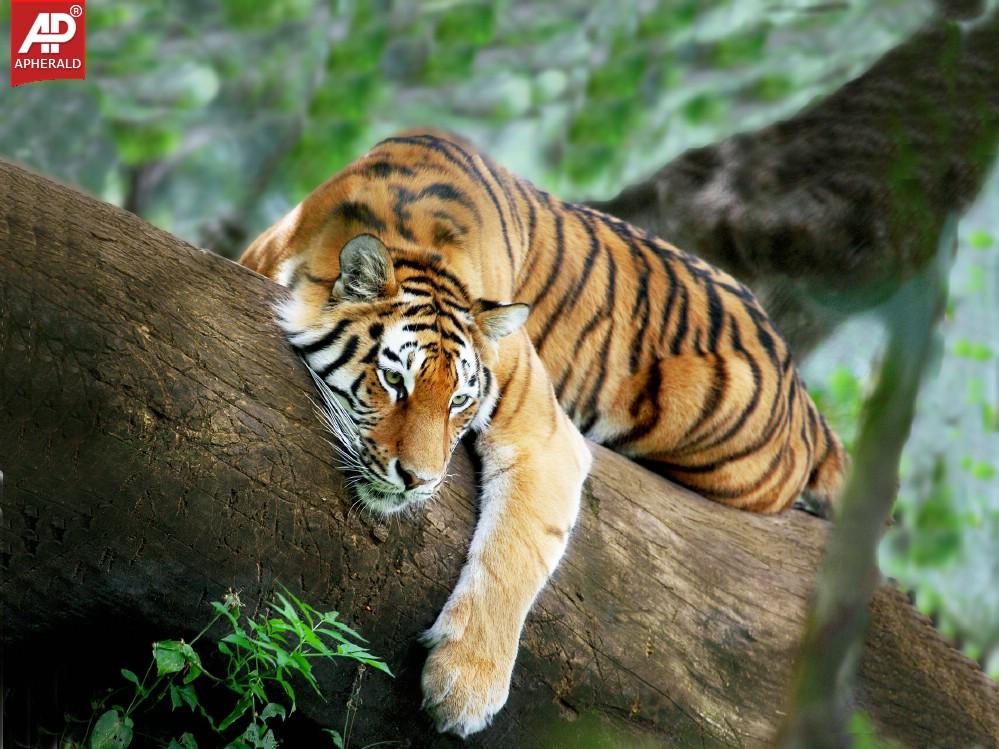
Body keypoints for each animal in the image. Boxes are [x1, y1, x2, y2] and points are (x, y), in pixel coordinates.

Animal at [239, 129, 846, 737]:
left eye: (459, 400)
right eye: (394, 381)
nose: (418, 480)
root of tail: (801, 388)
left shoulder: (544, 433)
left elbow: (516, 550)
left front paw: (465, 688)